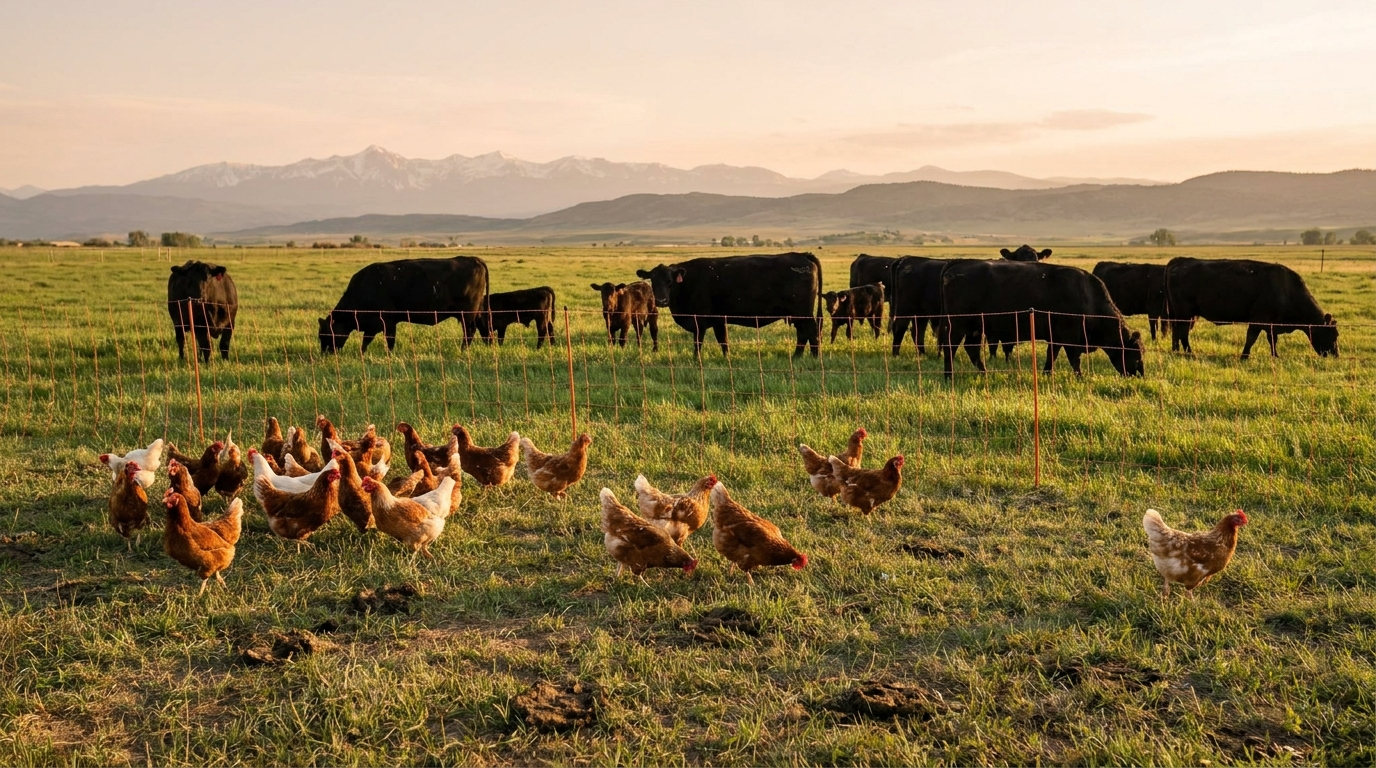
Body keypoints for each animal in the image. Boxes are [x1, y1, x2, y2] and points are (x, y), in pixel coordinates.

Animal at [318, 256, 488, 353]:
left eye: (325, 334)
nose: (325, 353)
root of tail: (473, 259)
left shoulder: (385, 322)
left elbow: (385, 340)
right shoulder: (377, 325)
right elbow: (368, 341)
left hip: (467, 315)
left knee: (469, 332)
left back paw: (463, 350)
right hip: (475, 314)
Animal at [635, 252, 823, 357]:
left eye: (670, 282)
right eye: (653, 281)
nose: (661, 301)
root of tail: (802, 254)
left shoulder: (699, 320)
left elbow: (698, 342)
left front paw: (696, 359)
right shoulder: (719, 320)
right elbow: (723, 340)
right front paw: (727, 358)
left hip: (803, 313)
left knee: (810, 332)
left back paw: (814, 357)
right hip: (797, 315)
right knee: (803, 334)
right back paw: (797, 357)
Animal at [939, 260, 1144, 377]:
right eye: (1136, 353)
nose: (1139, 375)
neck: (1088, 297)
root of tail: (956, 266)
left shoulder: (1057, 337)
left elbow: (1051, 355)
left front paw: (1046, 374)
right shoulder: (1069, 337)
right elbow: (1073, 359)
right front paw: (1080, 377)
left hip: (975, 327)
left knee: (971, 349)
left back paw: (984, 373)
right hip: (958, 325)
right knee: (951, 347)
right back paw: (949, 376)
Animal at [1163, 257, 1338, 358]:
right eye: (1333, 335)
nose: (1335, 355)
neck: (1287, 290)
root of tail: (1179, 261)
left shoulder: (1271, 324)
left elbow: (1272, 339)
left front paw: (1275, 356)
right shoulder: (1258, 319)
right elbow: (1251, 338)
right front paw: (1244, 356)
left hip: (1182, 314)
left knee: (1177, 332)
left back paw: (1177, 350)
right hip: (1185, 313)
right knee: (1183, 333)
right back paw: (1190, 353)